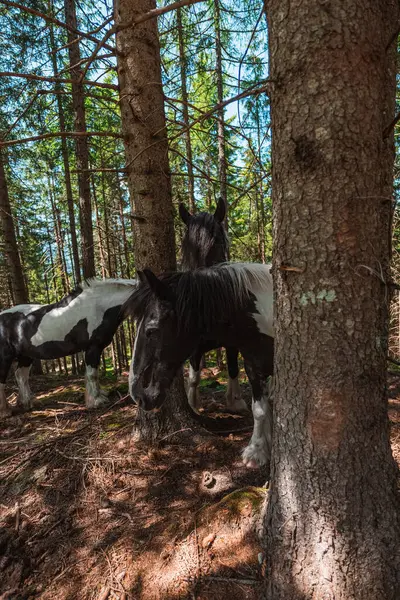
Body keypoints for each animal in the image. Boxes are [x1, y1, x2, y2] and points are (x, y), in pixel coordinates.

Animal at [0, 278, 138, 414]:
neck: (99, 308)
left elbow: (94, 374)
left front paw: (98, 396)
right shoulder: (92, 347)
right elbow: (92, 375)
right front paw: (96, 401)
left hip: (26, 355)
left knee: (21, 376)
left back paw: (28, 403)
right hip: (6, 356)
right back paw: (5, 411)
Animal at [179, 199, 247, 414]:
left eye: (218, 242)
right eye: (186, 246)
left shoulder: (233, 341)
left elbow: (233, 368)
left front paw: (235, 401)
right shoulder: (194, 348)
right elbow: (194, 378)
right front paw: (193, 405)